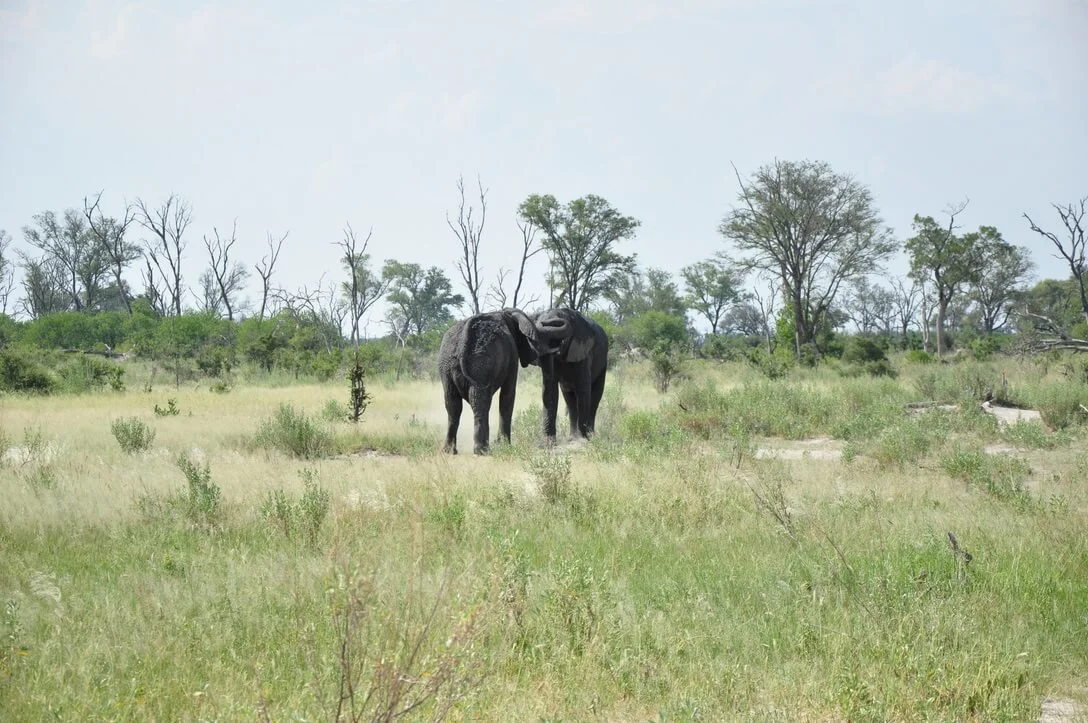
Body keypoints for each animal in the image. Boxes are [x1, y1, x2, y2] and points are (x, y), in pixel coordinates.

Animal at [438, 308, 554, 455]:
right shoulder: (512, 356)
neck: (506, 312)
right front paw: (506, 446)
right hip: (480, 365)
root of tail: (463, 340)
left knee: (453, 405)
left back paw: (449, 451)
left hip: (446, 367)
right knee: (480, 402)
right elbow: (508, 395)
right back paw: (482, 451)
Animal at [531, 307, 609, 444]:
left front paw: (584, 439)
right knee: (570, 401)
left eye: (563, 339)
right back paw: (573, 437)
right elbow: (550, 391)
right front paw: (548, 443)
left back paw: (590, 435)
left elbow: (583, 390)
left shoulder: (583, 352)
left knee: (594, 399)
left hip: (603, 362)